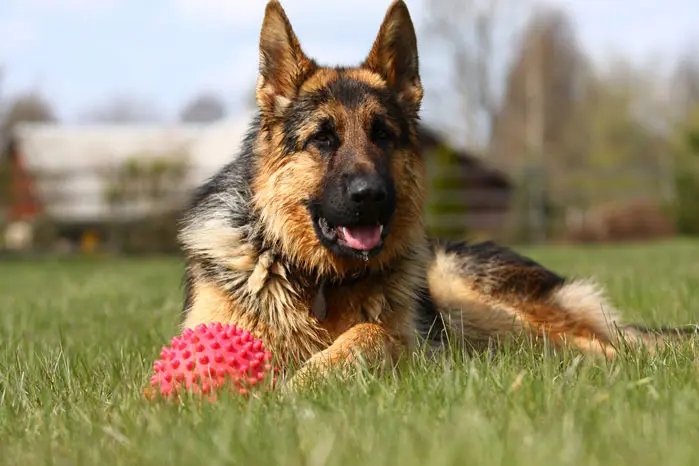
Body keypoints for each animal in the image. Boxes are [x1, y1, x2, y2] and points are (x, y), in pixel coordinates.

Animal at [179, 0, 696, 386]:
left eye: (383, 135)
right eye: (322, 139)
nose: (370, 195)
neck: (317, 280)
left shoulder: (409, 344)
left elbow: (369, 332)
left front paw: (303, 382)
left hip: (479, 304)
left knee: (603, 347)